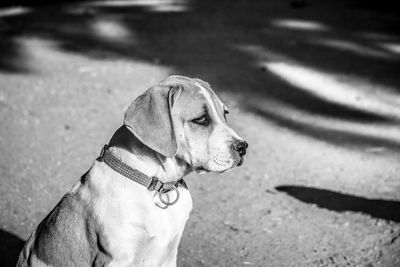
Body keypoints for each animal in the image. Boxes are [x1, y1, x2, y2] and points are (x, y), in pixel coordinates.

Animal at [18, 75, 247, 267]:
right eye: (201, 119)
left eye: (225, 114)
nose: (243, 147)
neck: (157, 184)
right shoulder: (117, 259)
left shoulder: (169, 254)